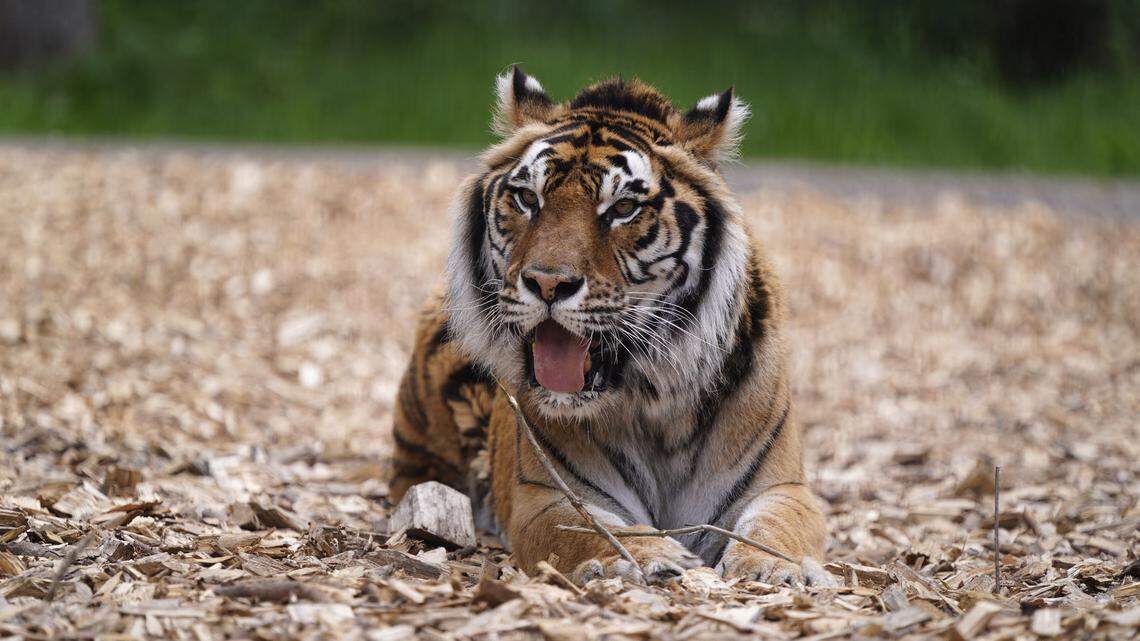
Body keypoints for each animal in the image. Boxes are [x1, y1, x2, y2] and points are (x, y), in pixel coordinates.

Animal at [390, 66, 833, 586]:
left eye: (622, 208)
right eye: (527, 198)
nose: (548, 283)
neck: (658, 408)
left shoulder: (783, 487)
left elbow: (775, 528)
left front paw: (770, 570)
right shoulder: (546, 497)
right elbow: (589, 530)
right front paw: (648, 557)